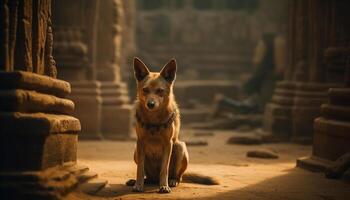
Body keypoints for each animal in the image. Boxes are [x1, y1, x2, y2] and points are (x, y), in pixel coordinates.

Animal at [127, 57, 217, 194]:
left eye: (160, 91)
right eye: (145, 90)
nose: (150, 104)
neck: (154, 121)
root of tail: (154, 179)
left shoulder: (168, 143)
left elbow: (164, 169)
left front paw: (164, 186)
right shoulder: (140, 142)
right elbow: (140, 169)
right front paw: (138, 185)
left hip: (180, 147)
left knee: (177, 176)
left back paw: (173, 181)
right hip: (135, 152)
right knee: (147, 176)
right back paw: (139, 181)